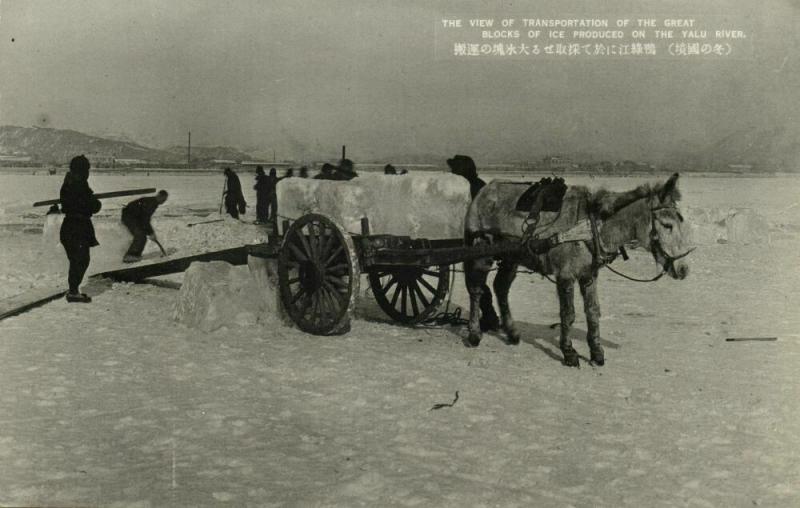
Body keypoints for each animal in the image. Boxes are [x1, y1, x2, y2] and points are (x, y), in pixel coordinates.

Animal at [462, 173, 692, 368]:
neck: (591, 226)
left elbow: (593, 312)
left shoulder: (588, 275)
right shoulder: (566, 276)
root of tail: (484, 191)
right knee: (476, 290)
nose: (683, 269)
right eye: (667, 225)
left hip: (512, 257)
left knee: (500, 288)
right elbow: (568, 314)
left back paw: (511, 332)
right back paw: (474, 334)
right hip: (482, 253)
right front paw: (569, 352)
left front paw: (596, 353)